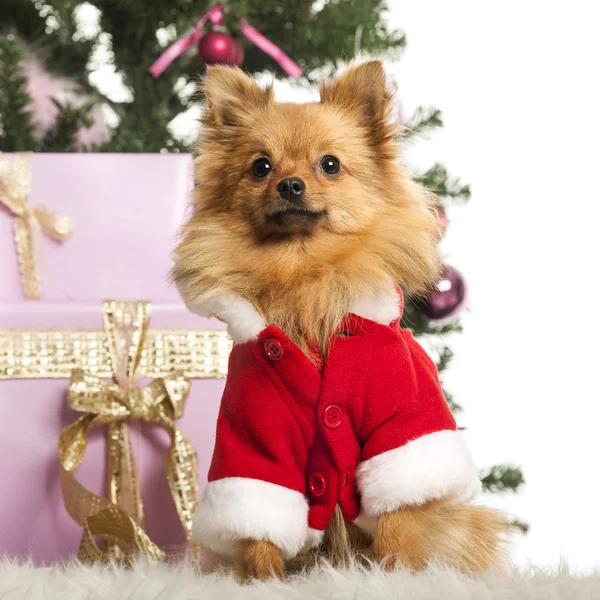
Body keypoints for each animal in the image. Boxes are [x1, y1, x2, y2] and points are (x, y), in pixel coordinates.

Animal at [171, 62, 508, 580]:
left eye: (329, 164)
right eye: (261, 167)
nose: (290, 184)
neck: (304, 277)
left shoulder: (401, 426)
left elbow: (397, 519)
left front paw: (394, 575)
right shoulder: (253, 440)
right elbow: (260, 526)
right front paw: (264, 580)